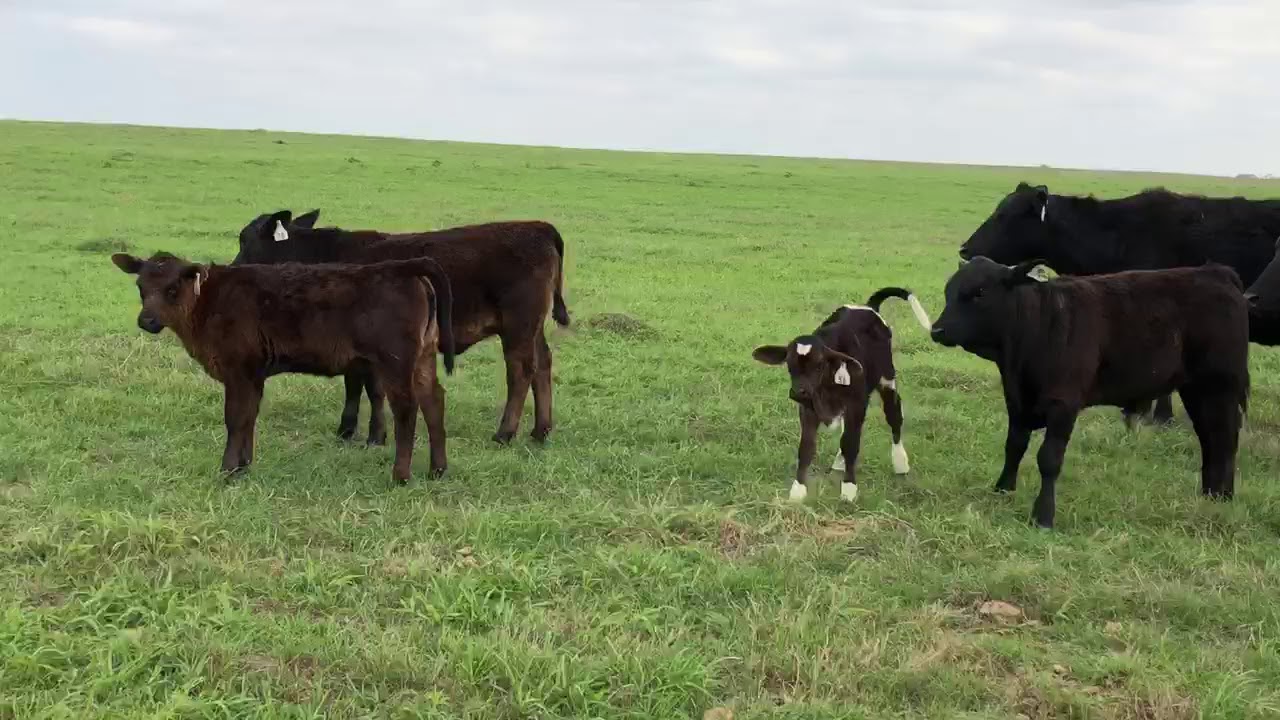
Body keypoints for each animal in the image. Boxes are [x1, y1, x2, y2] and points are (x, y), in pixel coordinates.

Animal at [111, 251, 456, 484]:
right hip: (423, 358)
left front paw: (227, 470)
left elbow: (235, 418)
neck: (208, 304)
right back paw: (437, 469)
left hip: (395, 362)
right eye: (141, 287)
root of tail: (402, 266)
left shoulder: (239, 369)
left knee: (407, 409)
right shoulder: (253, 375)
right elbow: (249, 417)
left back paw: (400, 475)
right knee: (434, 400)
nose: (146, 321)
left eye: (172, 289)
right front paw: (244, 466)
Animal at [234, 209, 569, 447]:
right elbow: (353, 384)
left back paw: (505, 433)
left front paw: (375, 436)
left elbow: (372, 389)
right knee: (542, 365)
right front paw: (347, 430)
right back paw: (540, 431)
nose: (234, 266)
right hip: (532, 328)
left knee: (521, 371)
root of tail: (539, 227)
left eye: (244, 239)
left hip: (518, 324)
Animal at [752, 288, 933, 503]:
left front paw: (848, 490)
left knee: (894, 417)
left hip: (887, 380)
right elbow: (806, 447)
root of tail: (868, 306)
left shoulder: (856, 404)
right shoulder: (808, 409)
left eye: (818, 365)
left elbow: (851, 443)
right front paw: (797, 492)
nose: (798, 391)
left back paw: (900, 463)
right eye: (789, 365)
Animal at [930, 257, 1249, 529]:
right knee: (1210, 440)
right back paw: (1211, 497)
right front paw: (1003, 490)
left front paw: (1043, 516)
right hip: (1196, 390)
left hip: (1219, 386)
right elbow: (1014, 446)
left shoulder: (1063, 404)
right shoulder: (1017, 400)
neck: (1039, 328)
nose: (937, 330)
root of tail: (1215, 272)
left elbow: (1049, 459)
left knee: (1224, 440)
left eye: (980, 292)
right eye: (949, 290)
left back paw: (1222, 498)